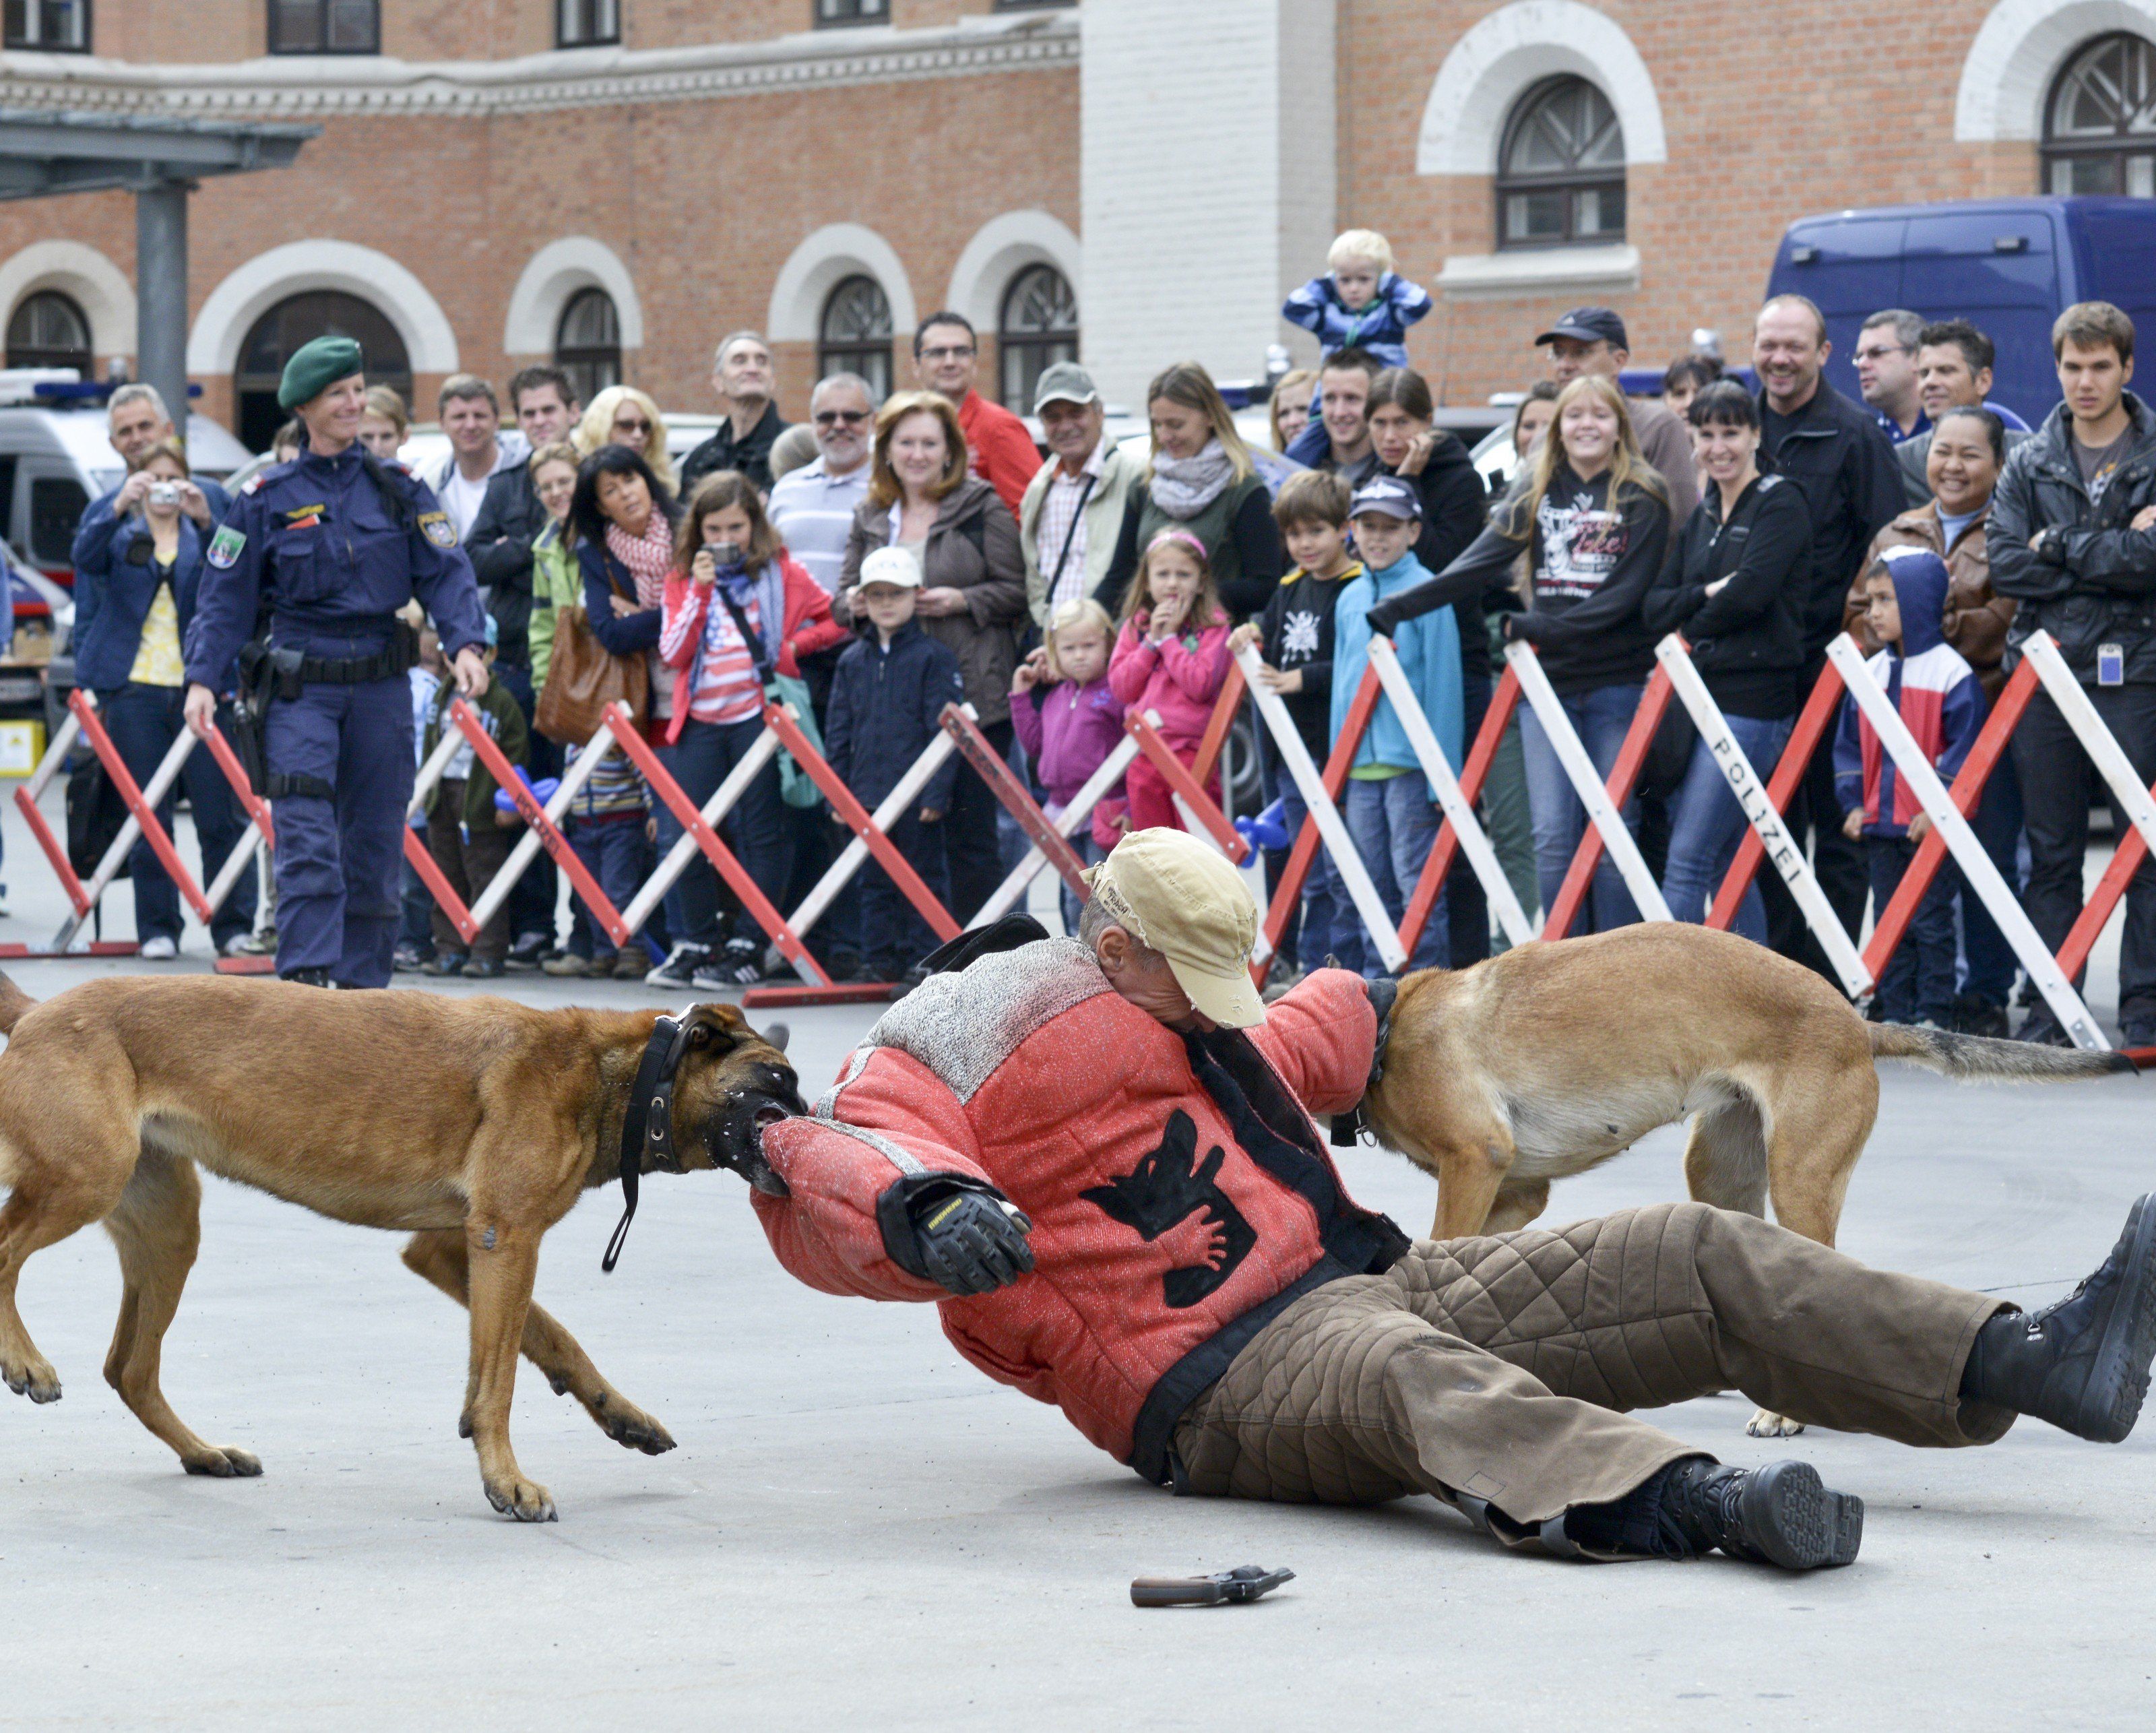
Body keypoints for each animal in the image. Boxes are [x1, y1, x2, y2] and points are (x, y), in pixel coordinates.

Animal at [0, 970, 806, 1525]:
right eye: (780, 1080)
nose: (819, 1114)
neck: (621, 1075)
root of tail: (39, 1009)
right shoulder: (505, 1241)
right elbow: (501, 1380)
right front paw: (506, 1480)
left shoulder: (455, 1250)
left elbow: (548, 1342)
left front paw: (624, 1418)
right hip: (84, 1179)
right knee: (9, 1256)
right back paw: (25, 1362)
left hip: (168, 1226)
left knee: (129, 1368)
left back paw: (203, 1452)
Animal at [1362, 926, 2121, 1439]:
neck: (1384, 1025)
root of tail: (1856, 1024)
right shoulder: (1518, 1190)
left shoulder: (1474, 1160)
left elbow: (1440, 1250)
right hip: (1721, 1176)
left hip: (1800, 1181)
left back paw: (1782, 1411)